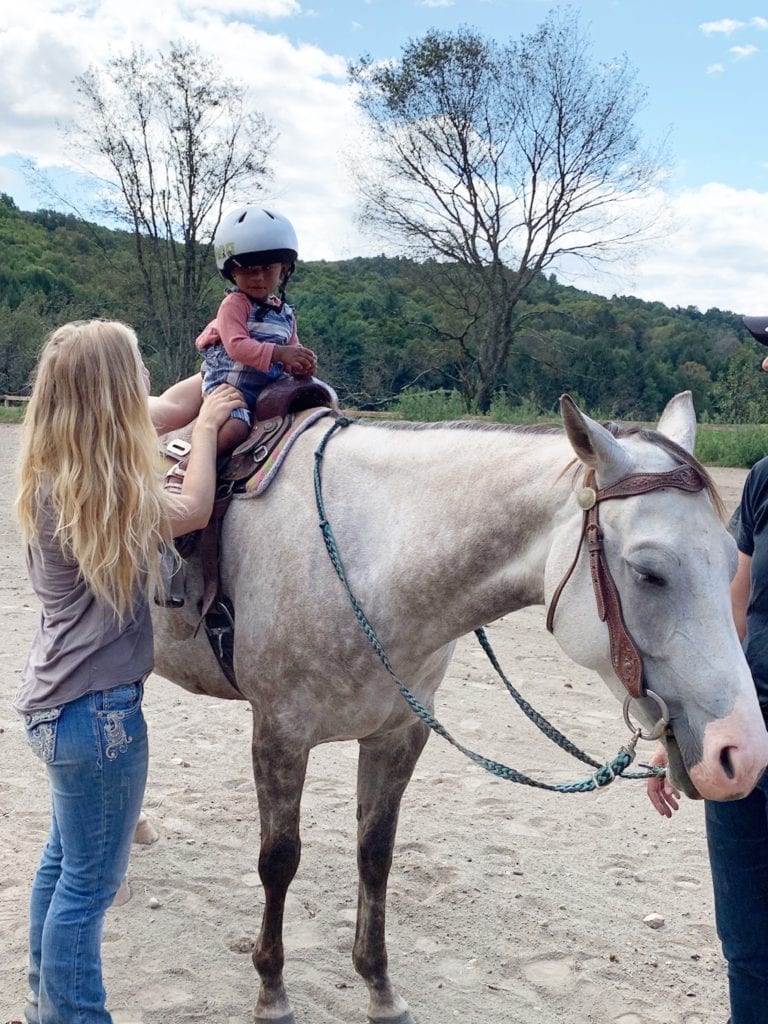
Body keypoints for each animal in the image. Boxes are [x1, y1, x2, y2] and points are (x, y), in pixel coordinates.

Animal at [150, 391, 768, 1024]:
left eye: (730, 561)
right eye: (649, 572)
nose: (740, 754)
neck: (367, 553)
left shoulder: (398, 736)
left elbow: (375, 855)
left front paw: (380, 990)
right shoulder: (280, 735)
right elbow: (279, 860)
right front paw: (272, 992)